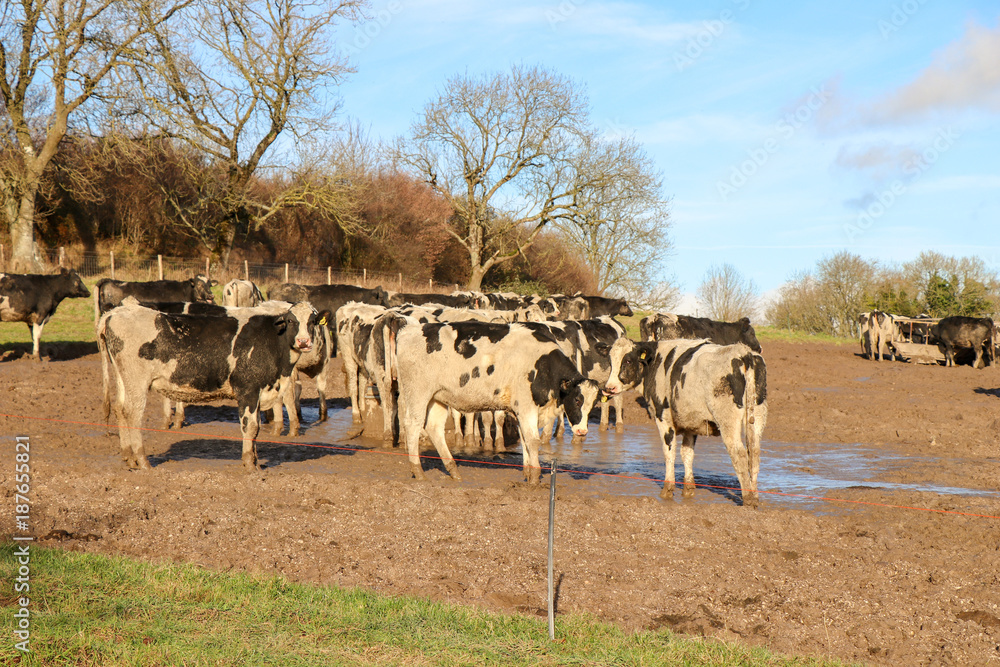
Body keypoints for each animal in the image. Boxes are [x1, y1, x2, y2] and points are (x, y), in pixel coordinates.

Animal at [98, 301, 329, 470]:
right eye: (290, 321)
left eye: (313, 321)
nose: (303, 342)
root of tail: (115, 312)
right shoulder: (248, 389)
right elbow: (250, 426)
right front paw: (249, 464)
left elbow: (256, 428)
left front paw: (255, 460)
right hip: (137, 381)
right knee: (133, 414)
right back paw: (143, 460)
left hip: (122, 378)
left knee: (120, 409)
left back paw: (128, 456)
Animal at [387, 318, 601, 484]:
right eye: (577, 400)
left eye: (592, 404)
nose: (582, 431)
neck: (542, 365)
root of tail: (410, 329)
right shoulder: (525, 407)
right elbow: (533, 441)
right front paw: (535, 477)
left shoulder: (520, 410)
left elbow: (525, 439)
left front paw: (527, 473)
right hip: (418, 392)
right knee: (413, 425)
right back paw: (418, 471)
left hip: (437, 396)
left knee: (434, 428)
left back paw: (453, 470)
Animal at [602, 337, 767, 508]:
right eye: (610, 361)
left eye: (628, 360)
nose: (608, 388)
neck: (656, 361)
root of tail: (743, 352)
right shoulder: (691, 423)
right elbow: (687, 453)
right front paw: (688, 489)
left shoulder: (663, 418)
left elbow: (669, 452)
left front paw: (667, 489)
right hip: (757, 417)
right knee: (754, 453)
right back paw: (755, 496)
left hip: (728, 421)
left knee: (739, 454)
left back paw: (748, 499)